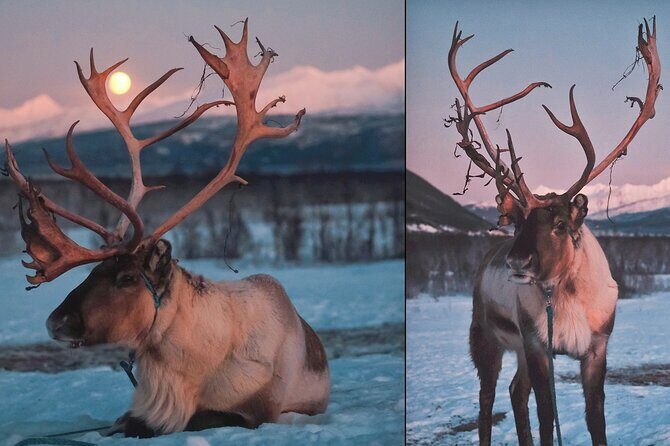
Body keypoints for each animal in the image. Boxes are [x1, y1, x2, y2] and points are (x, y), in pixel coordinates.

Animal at [4, 20, 329, 438]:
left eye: (126, 277)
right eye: (93, 270)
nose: (53, 322)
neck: (185, 367)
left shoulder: (254, 411)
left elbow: (198, 419)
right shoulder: (139, 408)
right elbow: (121, 423)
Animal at [446, 18, 661, 446]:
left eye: (560, 225)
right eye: (518, 223)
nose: (517, 260)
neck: (566, 295)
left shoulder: (596, 349)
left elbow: (596, 419)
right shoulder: (537, 345)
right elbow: (547, 417)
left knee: (515, 392)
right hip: (485, 338)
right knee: (487, 401)